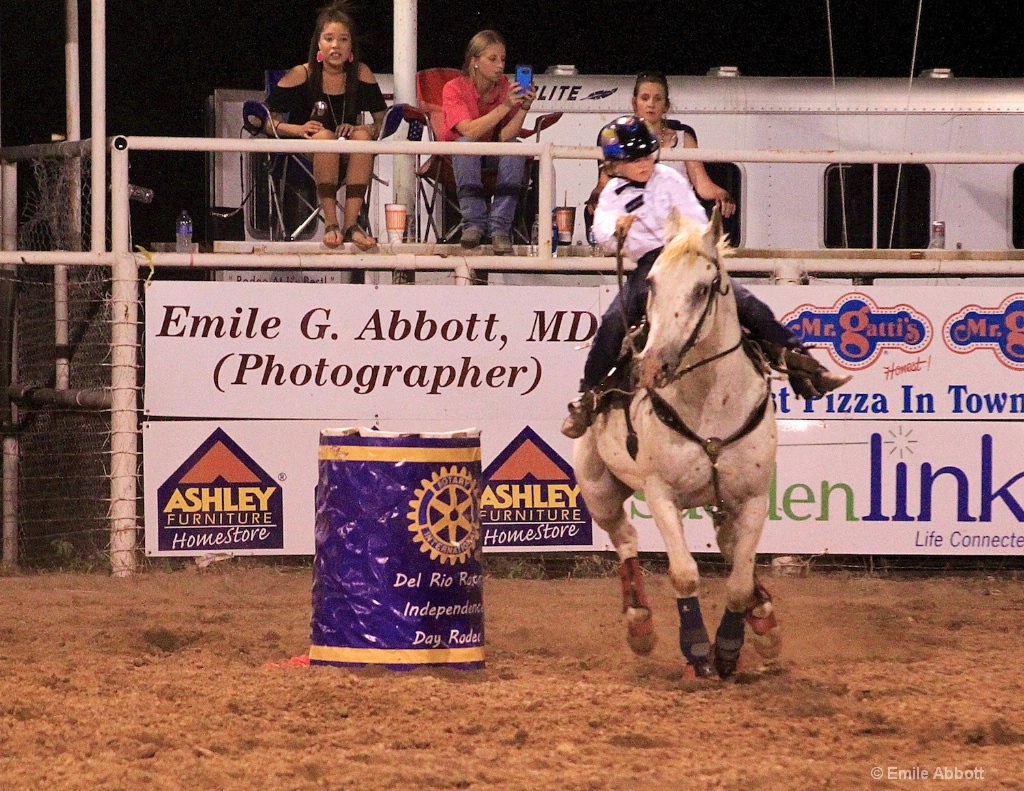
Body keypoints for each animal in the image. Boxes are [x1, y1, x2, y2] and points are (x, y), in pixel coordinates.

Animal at [573, 206, 778, 676]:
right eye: (651, 284)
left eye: (703, 288)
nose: (652, 365)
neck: (711, 402)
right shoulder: (661, 493)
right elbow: (684, 573)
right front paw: (699, 650)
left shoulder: (755, 497)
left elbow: (739, 582)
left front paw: (730, 647)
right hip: (598, 490)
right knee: (625, 538)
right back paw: (639, 622)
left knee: (729, 548)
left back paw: (765, 620)